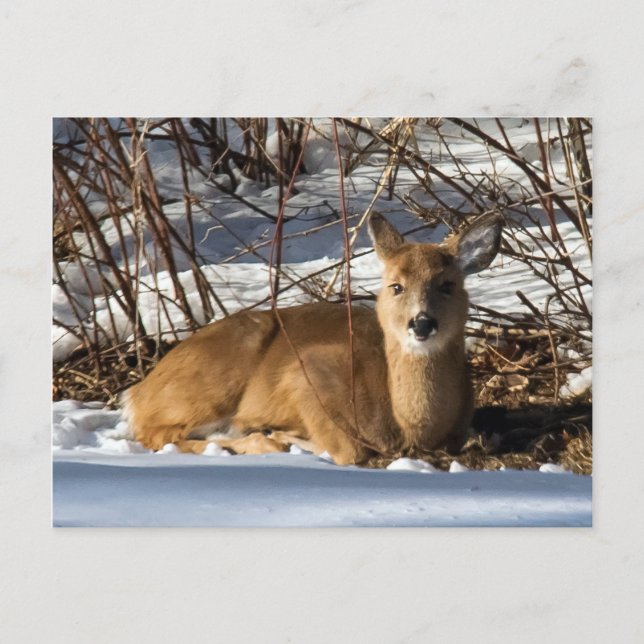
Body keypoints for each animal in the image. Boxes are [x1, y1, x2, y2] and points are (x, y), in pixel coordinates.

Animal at [122, 213, 503, 465]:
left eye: (447, 284)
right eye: (396, 285)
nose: (422, 323)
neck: (409, 427)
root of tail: (140, 389)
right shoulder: (309, 372)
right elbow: (349, 451)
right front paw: (281, 436)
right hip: (209, 389)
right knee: (156, 434)